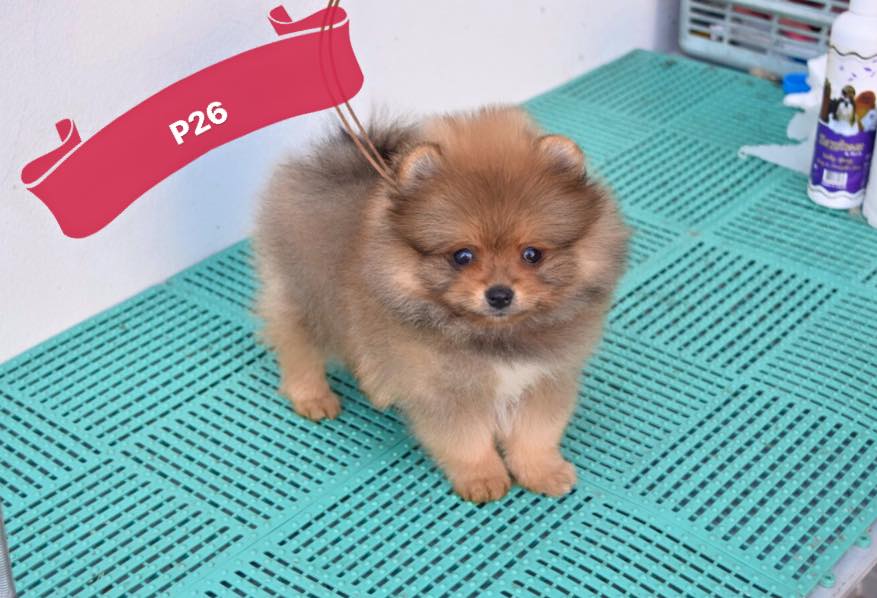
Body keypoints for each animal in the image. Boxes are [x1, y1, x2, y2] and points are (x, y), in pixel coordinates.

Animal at [253, 106, 628, 502]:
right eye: (462, 256)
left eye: (532, 254)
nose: (499, 294)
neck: (495, 336)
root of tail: (339, 161)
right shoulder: (447, 392)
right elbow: (467, 441)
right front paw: (482, 478)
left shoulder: (545, 379)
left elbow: (536, 435)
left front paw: (542, 471)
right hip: (309, 299)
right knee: (296, 344)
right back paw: (312, 396)